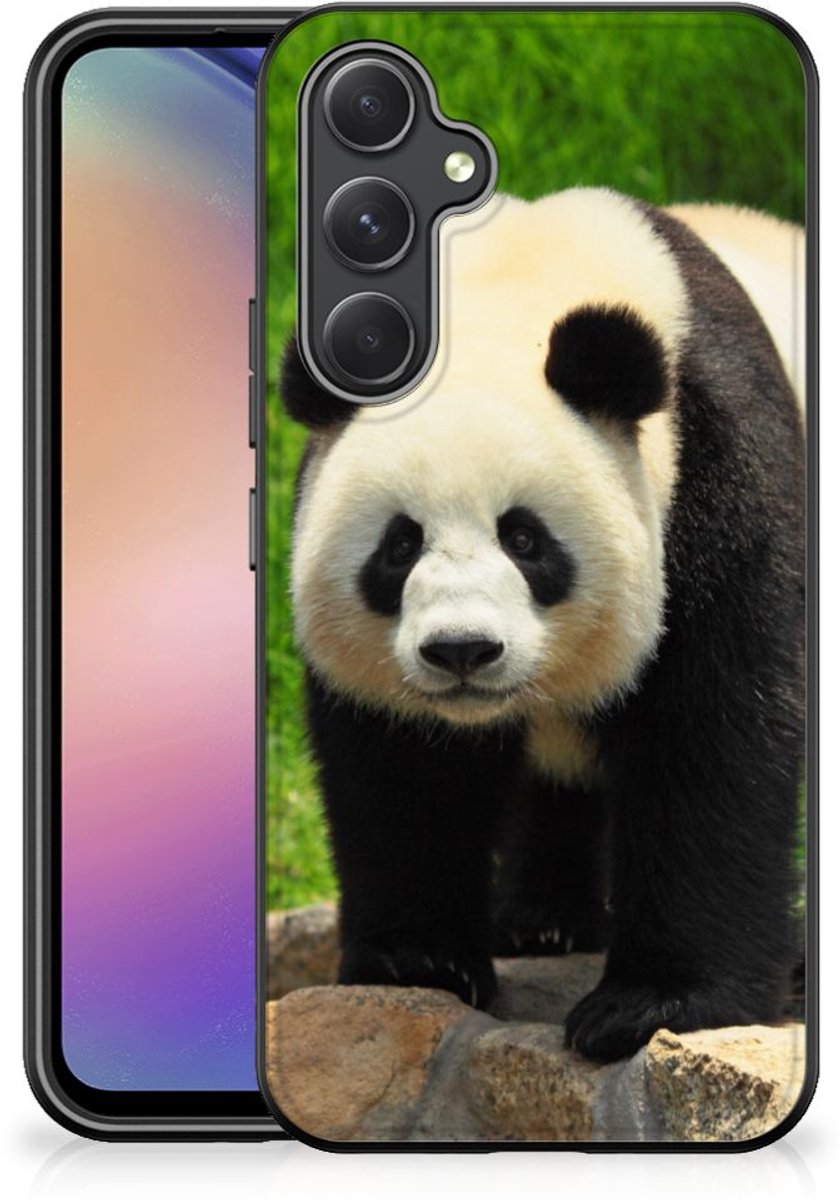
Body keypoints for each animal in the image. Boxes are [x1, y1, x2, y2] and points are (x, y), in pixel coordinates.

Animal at [278, 188, 805, 1064]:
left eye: (524, 539)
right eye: (399, 545)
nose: (462, 650)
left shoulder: (719, 469)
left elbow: (715, 734)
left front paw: (652, 1004)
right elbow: (402, 768)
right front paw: (417, 960)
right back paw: (544, 922)